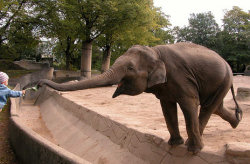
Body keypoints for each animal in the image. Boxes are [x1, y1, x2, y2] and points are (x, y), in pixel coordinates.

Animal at [38, 42, 242, 154]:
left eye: (130, 68)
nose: (39, 84)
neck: (155, 52)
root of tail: (227, 65)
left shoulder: (181, 78)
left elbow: (189, 103)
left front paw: (191, 150)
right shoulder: (166, 86)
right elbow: (167, 107)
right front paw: (174, 144)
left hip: (224, 80)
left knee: (207, 107)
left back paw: (196, 143)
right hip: (221, 83)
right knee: (215, 106)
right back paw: (237, 121)